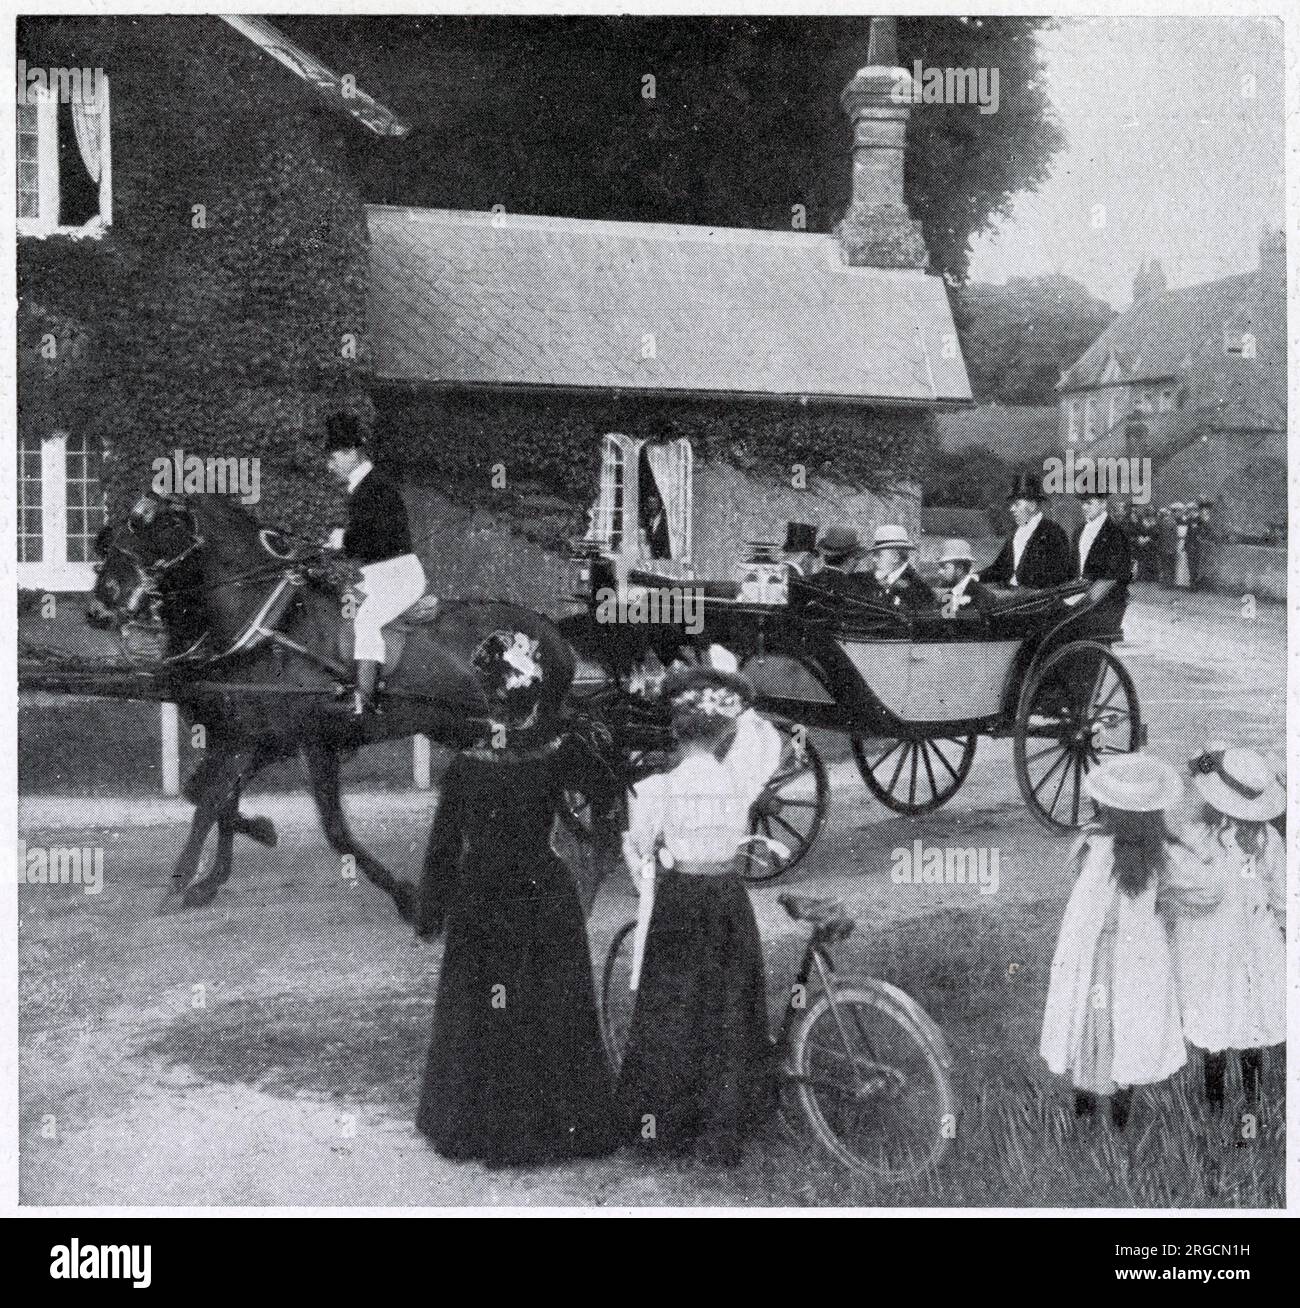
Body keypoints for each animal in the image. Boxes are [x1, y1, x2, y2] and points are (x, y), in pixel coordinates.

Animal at [90, 491, 578, 920]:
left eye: (151, 526)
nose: (100, 605)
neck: (269, 627)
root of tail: (550, 631)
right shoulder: (256, 739)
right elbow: (208, 794)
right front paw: (225, 865)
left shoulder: (303, 742)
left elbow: (327, 830)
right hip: (467, 728)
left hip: (523, 729)